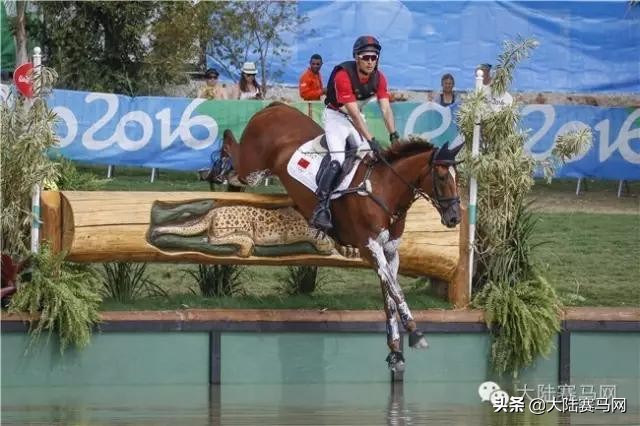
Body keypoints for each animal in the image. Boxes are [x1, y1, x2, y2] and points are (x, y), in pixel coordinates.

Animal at [218, 101, 462, 372]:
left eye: (458, 177)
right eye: (442, 177)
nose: (454, 218)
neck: (385, 189)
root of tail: (274, 107)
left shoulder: (390, 251)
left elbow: (389, 294)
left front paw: (395, 352)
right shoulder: (369, 247)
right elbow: (396, 290)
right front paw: (416, 334)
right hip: (253, 167)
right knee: (235, 158)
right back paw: (218, 163)